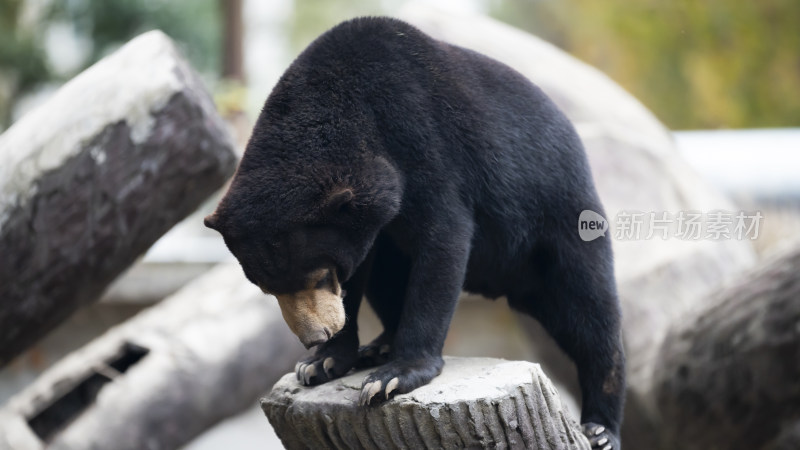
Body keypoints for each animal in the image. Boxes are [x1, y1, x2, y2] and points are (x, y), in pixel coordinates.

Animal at [205, 15, 624, 448]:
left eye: (320, 275)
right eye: (266, 289)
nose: (314, 336)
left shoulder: (422, 141)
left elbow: (444, 238)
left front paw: (390, 378)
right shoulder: (368, 221)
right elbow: (364, 270)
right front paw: (320, 364)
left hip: (561, 218)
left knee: (588, 310)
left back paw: (601, 428)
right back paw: (378, 347)